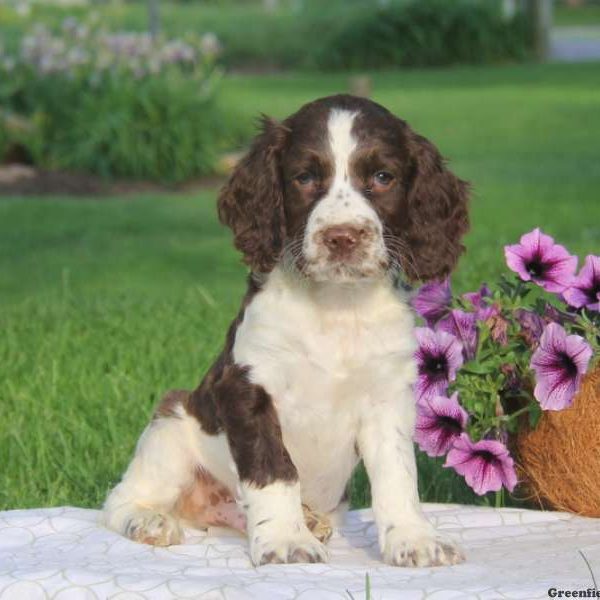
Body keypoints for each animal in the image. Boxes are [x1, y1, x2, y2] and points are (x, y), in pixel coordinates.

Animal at [103, 94, 468, 568]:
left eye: (383, 177)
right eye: (305, 177)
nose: (342, 237)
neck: (335, 306)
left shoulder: (388, 396)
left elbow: (397, 475)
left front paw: (414, 539)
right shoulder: (247, 388)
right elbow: (274, 470)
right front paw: (286, 541)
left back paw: (310, 519)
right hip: (172, 424)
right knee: (121, 498)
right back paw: (149, 521)